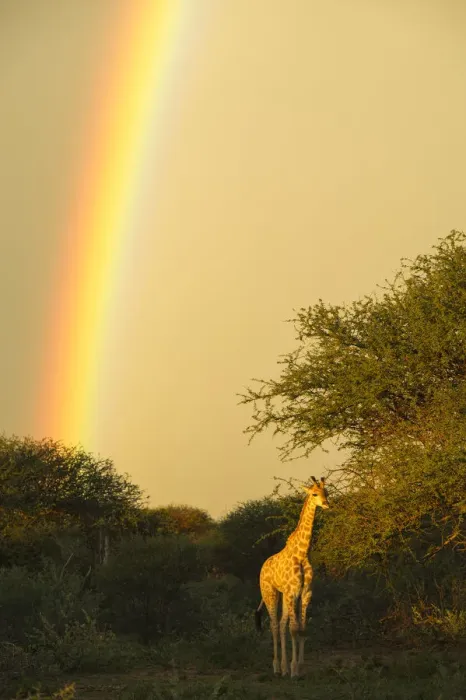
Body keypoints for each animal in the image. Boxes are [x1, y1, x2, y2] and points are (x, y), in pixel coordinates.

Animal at [254, 476, 329, 678]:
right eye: (314, 494)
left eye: (326, 492)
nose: (326, 504)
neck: (302, 553)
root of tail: (263, 567)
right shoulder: (293, 592)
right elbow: (294, 629)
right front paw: (295, 670)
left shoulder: (305, 593)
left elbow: (302, 628)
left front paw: (299, 666)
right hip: (270, 593)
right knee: (274, 625)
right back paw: (277, 667)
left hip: (284, 596)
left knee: (281, 624)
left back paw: (283, 667)